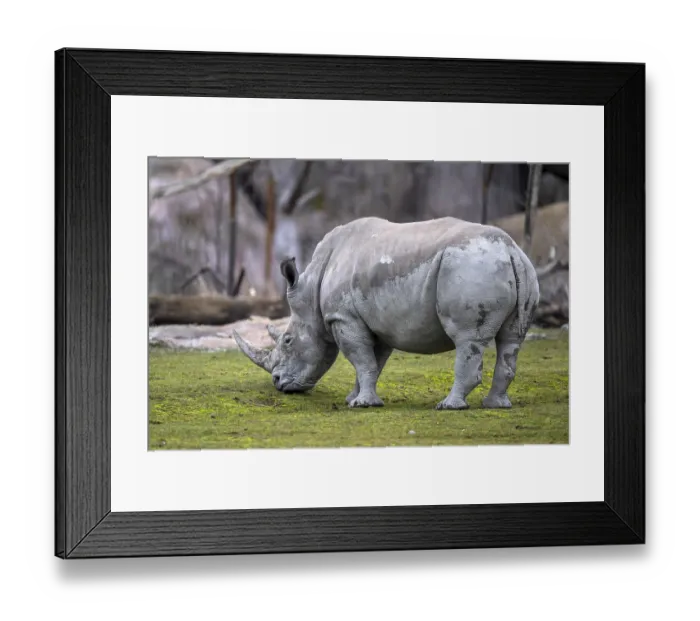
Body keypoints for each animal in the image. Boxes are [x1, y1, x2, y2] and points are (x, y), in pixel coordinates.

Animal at [232, 216, 540, 410]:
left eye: (287, 341)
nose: (277, 382)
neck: (311, 293)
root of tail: (510, 249)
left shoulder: (343, 317)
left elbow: (362, 360)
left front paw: (362, 405)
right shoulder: (375, 322)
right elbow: (372, 362)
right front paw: (354, 399)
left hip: (470, 266)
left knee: (467, 338)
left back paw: (449, 406)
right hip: (515, 268)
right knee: (511, 339)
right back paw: (495, 406)